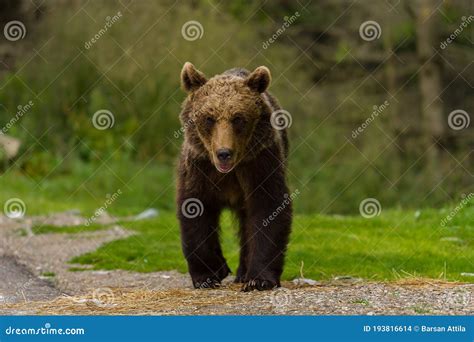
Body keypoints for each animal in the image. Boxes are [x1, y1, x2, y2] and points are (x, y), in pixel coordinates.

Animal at [176, 62, 290, 292]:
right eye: (209, 118)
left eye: (238, 118)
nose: (223, 153)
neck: (228, 172)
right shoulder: (199, 167)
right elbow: (195, 209)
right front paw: (207, 275)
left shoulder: (259, 164)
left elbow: (269, 209)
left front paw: (259, 279)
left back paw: (243, 273)